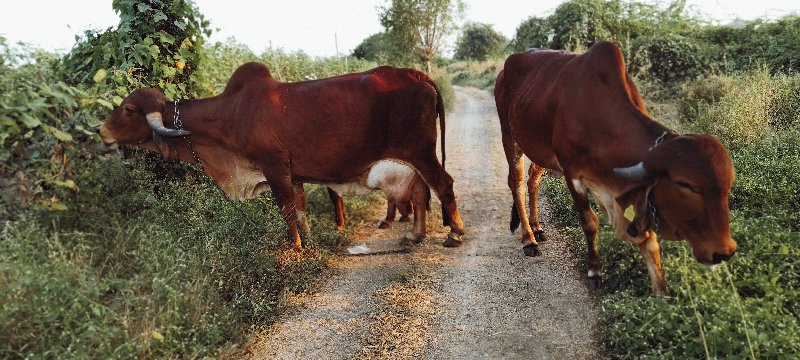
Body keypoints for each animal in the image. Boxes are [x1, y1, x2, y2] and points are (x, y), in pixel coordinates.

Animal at [100, 64, 466, 248]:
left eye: (129, 109)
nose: (102, 131)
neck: (231, 114)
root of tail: (418, 74)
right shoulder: (295, 174)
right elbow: (301, 212)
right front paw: (310, 241)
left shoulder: (274, 167)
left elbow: (287, 212)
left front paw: (295, 249)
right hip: (411, 160)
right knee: (419, 193)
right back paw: (416, 234)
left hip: (420, 152)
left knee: (443, 184)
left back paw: (454, 233)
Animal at [494, 41, 736, 296]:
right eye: (685, 185)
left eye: (728, 186)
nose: (724, 251)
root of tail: (503, 72)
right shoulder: (573, 174)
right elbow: (589, 222)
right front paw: (594, 271)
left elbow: (648, 237)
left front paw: (661, 292)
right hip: (509, 136)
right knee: (517, 183)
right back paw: (528, 239)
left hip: (539, 149)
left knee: (533, 181)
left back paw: (537, 227)